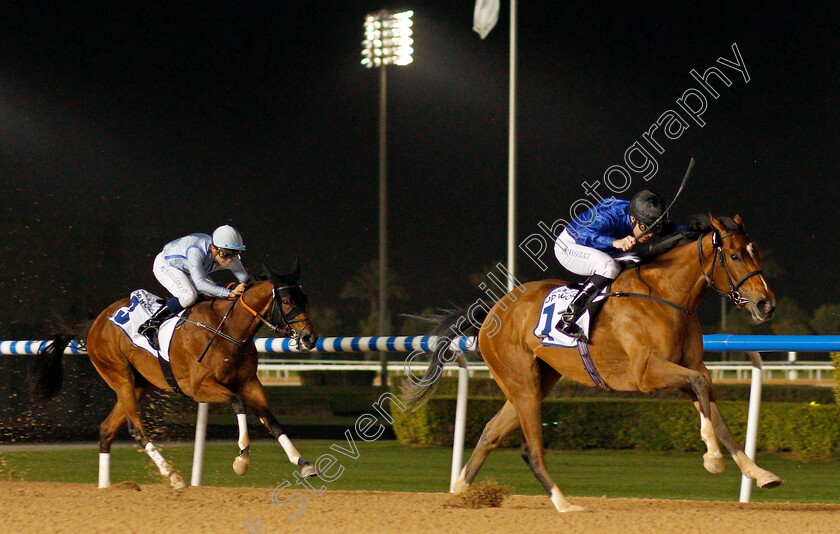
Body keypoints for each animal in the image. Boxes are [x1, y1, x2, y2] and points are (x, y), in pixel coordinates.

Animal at [32, 262, 318, 490]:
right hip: (119, 376)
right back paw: (173, 476)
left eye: (305, 298)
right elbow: (238, 403)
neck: (228, 329)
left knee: (106, 429)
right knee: (136, 428)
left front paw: (303, 462)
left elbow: (272, 421)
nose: (309, 337)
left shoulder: (250, 383)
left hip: (140, 384)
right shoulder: (200, 388)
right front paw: (242, 460)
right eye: (287, 301)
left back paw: (106, 486)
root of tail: (96, 322)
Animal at [400, 216, 780, 512]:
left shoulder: (691, 368)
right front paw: (712, 459)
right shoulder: (648, 373)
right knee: (530, 447)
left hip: (537, 381)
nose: (766, 304)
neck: (665, 295)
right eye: (734, 255)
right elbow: (703, 393)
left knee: (491, 431)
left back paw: (461, 491)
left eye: (758, 253)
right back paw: (564, 503)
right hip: (522, 382)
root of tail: (492, 310)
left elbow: (714, 410)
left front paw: (759, 473)